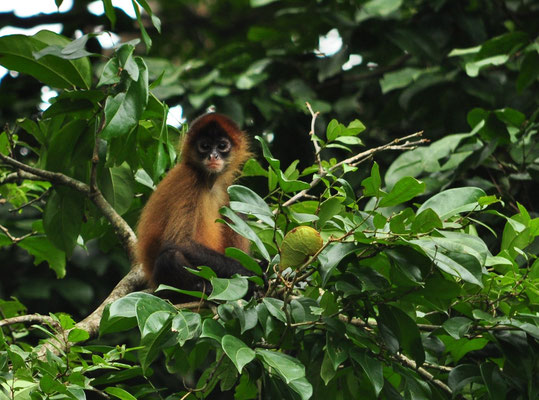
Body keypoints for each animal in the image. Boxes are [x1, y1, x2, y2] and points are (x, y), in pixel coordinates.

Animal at [138, 111, 258, 298]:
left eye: (222, 146)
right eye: (205, 146)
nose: (213, 156)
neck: (207, 180)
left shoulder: (225, 186)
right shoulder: (189, 181)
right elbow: (179, 243)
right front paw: (249, 273)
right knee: (170, 257)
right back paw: (203, 288)